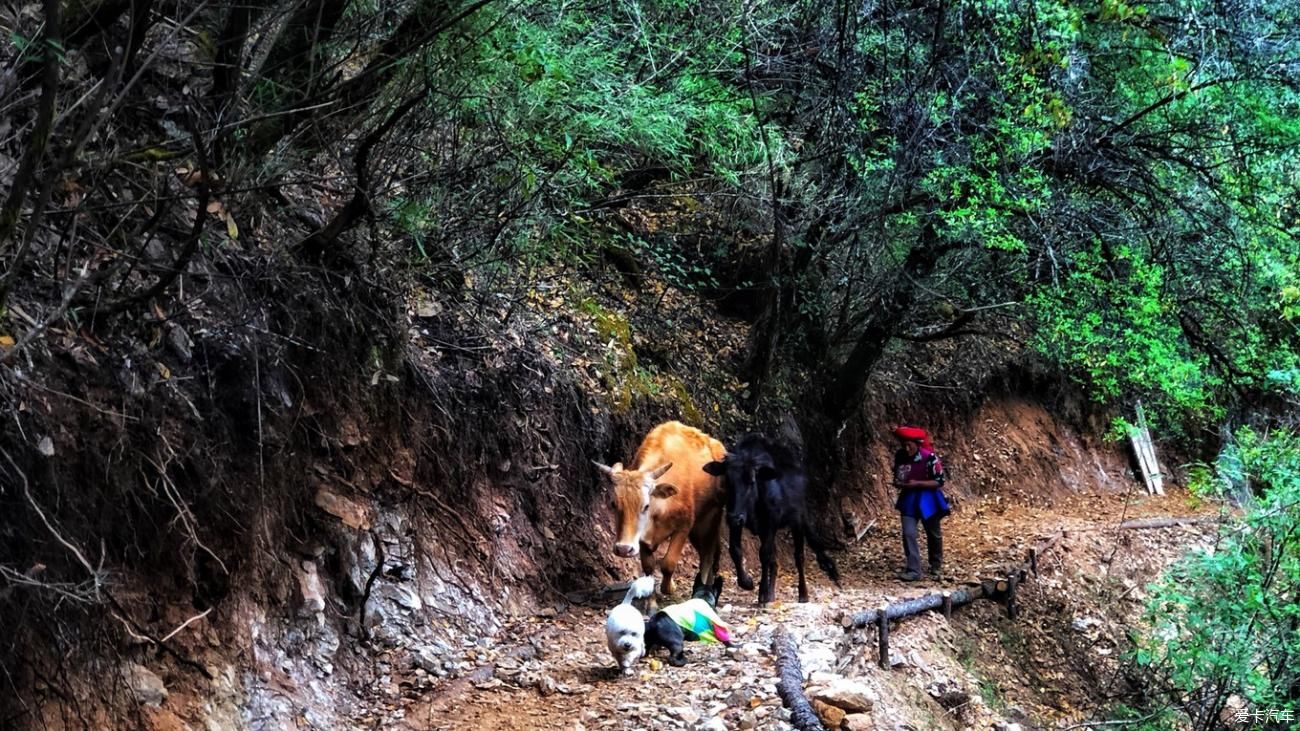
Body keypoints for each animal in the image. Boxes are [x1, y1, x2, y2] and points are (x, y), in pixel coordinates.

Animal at [595, 418, 728, 595]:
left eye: (646, 506)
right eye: (613, 504)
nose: (623, 549)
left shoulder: (684, 526)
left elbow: (668, 563)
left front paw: (669, 588)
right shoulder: (642, 538)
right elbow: (648, 566)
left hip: (709, 519)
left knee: (707, 554)